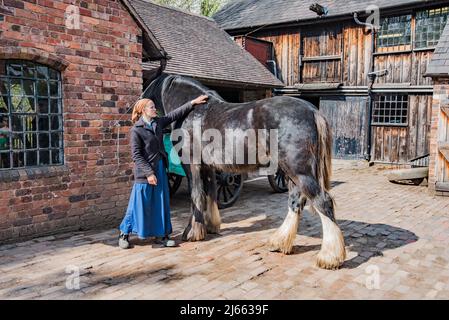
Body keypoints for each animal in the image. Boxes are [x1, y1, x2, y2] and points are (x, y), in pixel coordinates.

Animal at [142, 73, 344, 270]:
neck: (194, 113)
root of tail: (312, 110)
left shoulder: (192, 164)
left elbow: (196, 195)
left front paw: (192, 232)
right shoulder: (208, 167)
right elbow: (210, 194)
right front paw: (211, 226)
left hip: (298, 171)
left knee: (323, 201)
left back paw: (329, 257)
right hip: (292, 173)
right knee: (296, 202)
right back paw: (280, 242)